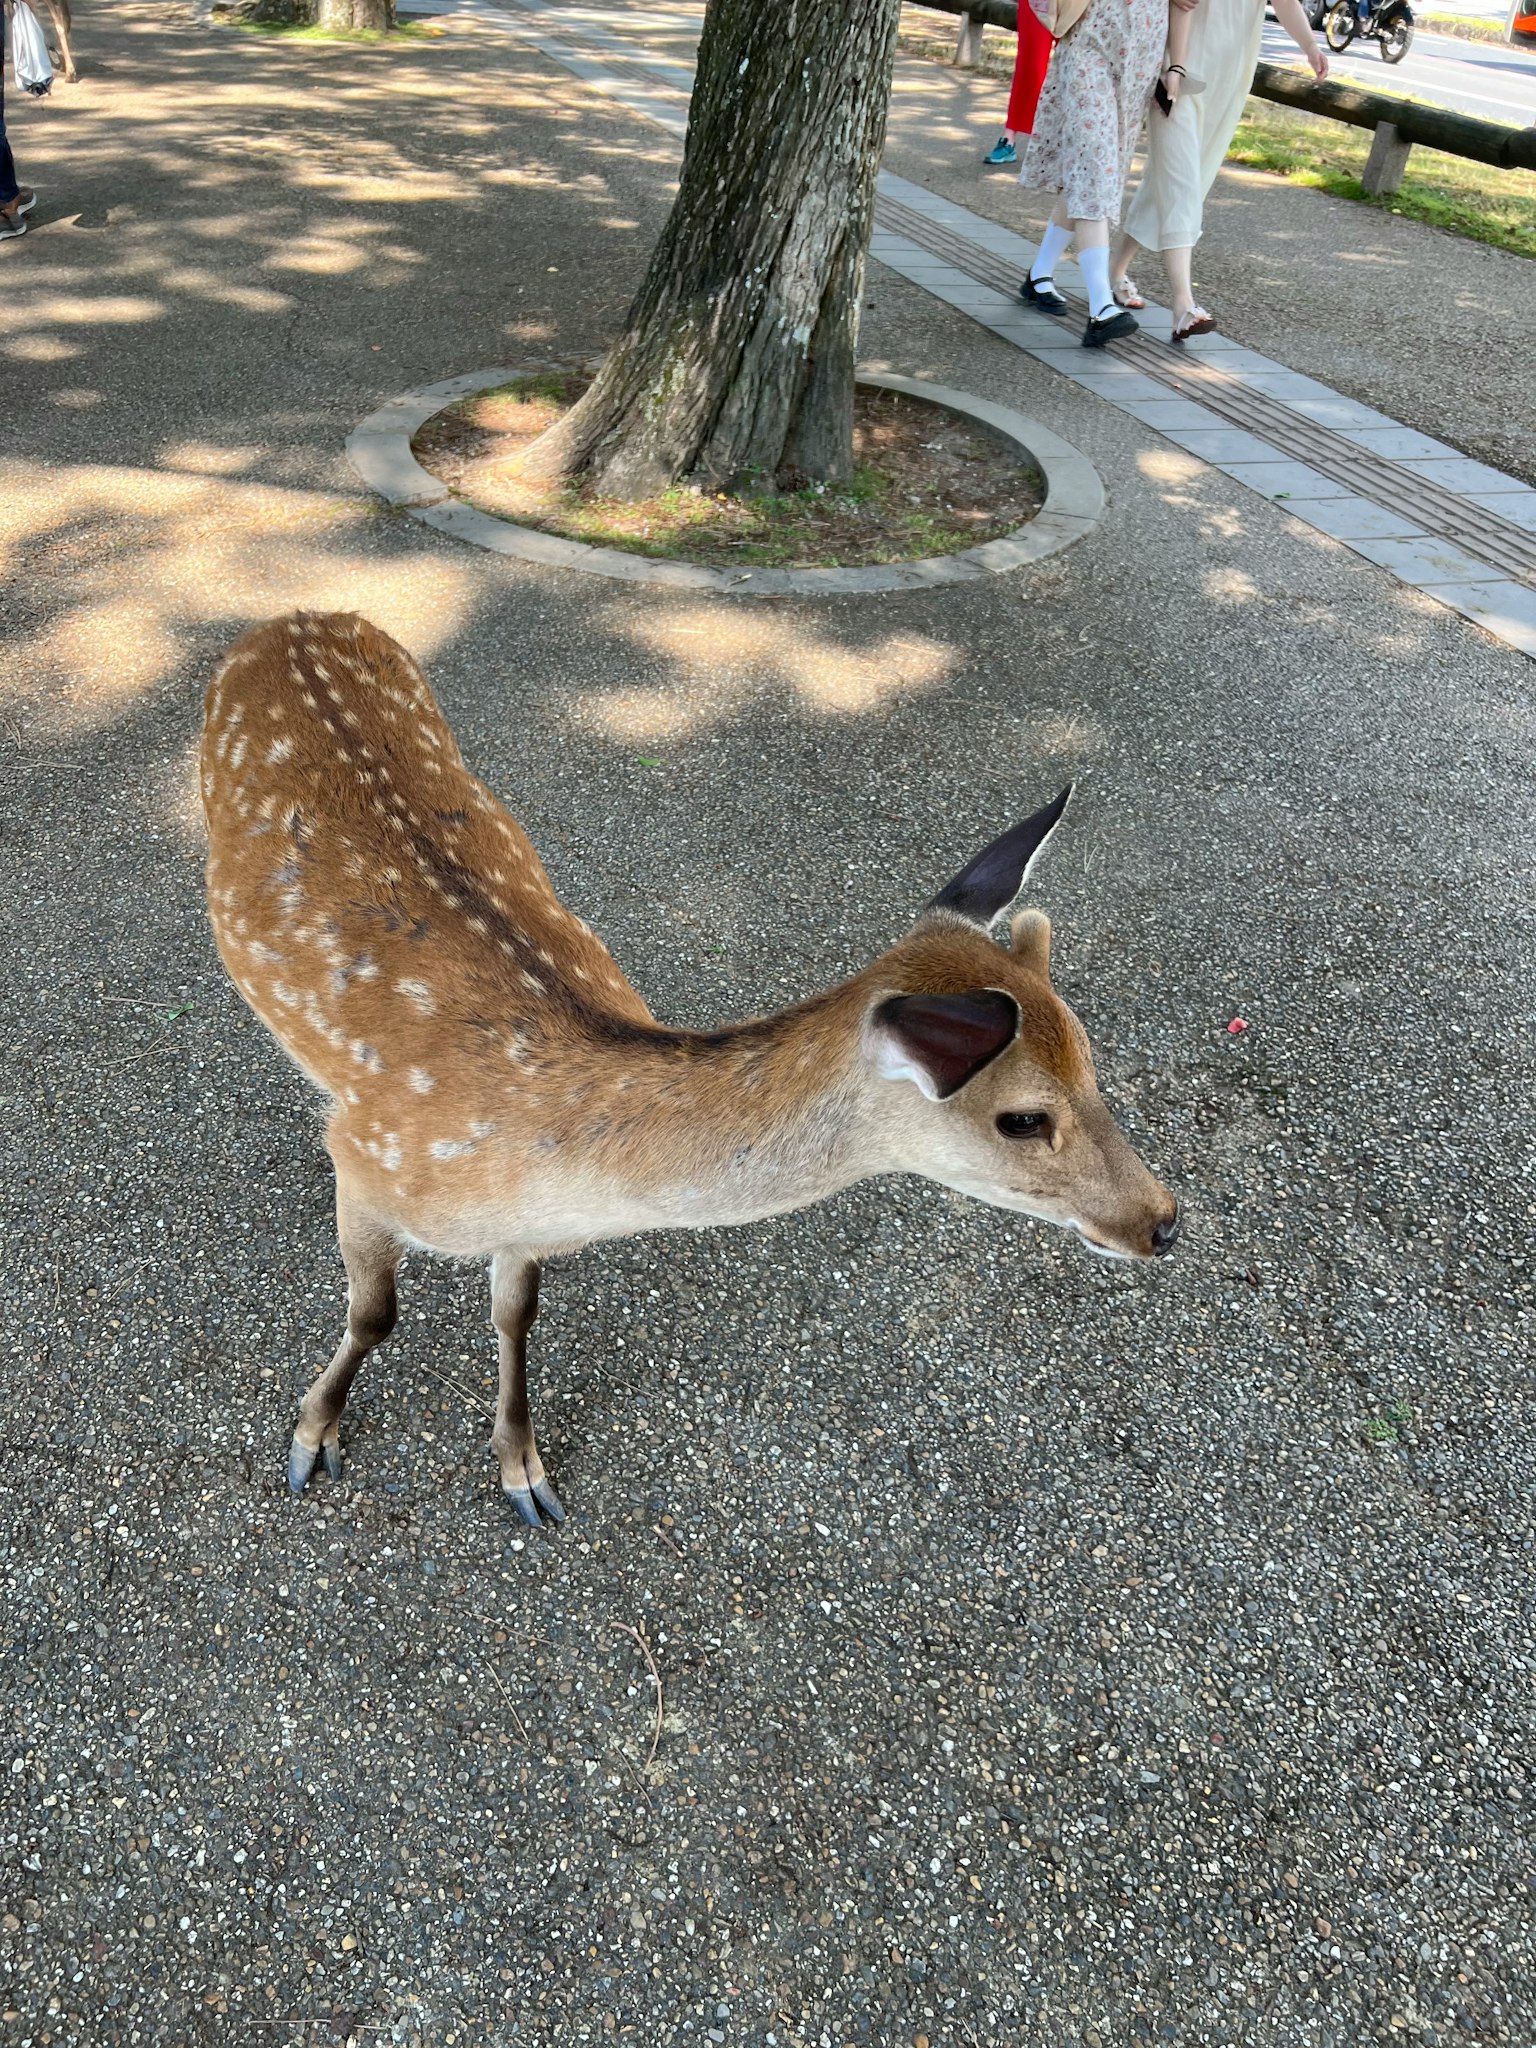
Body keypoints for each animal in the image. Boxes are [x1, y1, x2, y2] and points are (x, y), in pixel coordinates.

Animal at [201, 611, 1179, 1528]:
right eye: (1024, 1117)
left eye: (1094, 1063)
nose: (1164, 1222)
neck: (556, 1171)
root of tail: (297, 616)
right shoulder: (380, 1161)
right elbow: (375, 1312)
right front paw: (311, 1436)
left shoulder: (521, 1229)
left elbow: (515, 1315)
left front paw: (524, 1471)